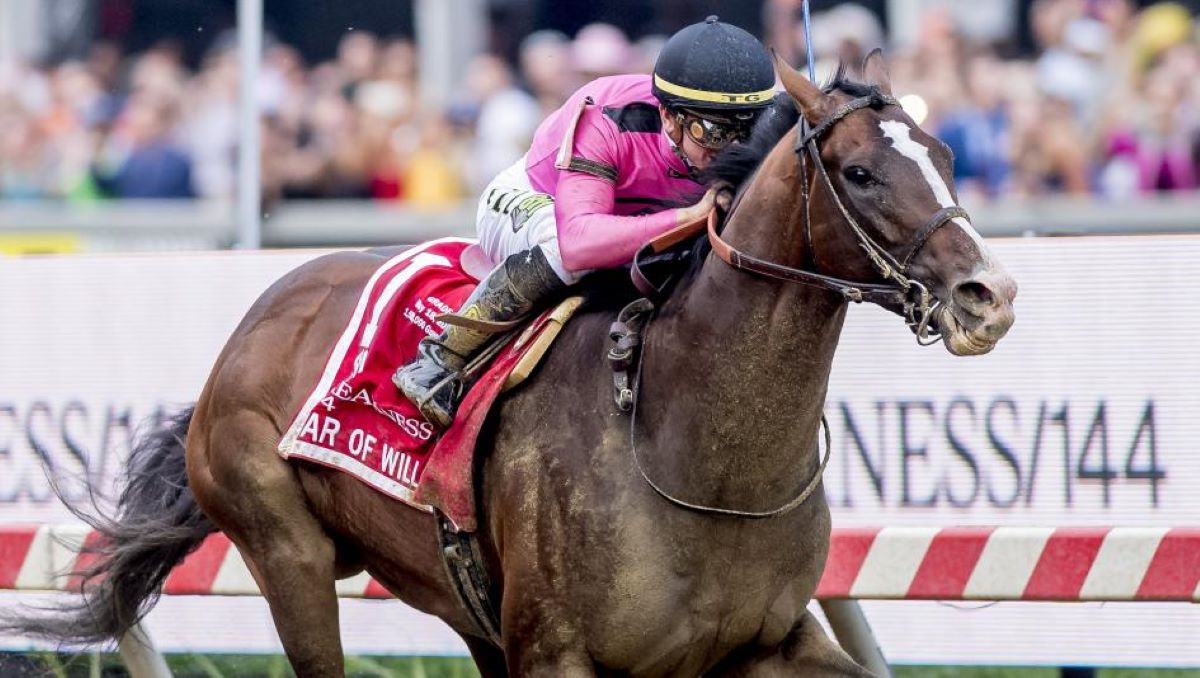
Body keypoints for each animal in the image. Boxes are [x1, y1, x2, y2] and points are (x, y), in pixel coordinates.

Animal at [9, 55, 1012, 672]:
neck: (699, 454)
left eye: (946, 153)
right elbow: (578, 232)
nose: (989, 293)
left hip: (463, 603)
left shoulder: (762, 644)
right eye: (861, 173)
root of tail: (254, 322)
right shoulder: (556, 651)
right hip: (284, 551)